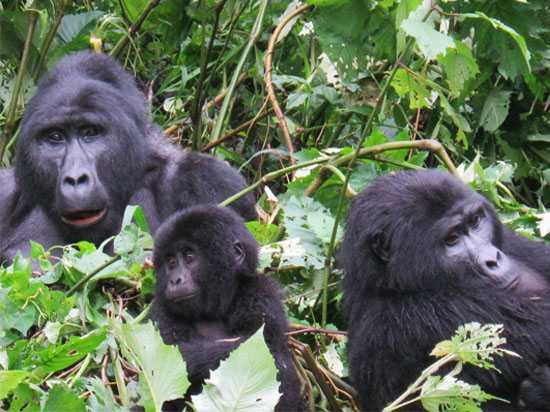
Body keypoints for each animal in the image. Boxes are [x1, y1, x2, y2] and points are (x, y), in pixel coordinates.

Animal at [152, 204, 306, 410]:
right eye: (170, 262)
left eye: (189, 256)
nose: (175, 280)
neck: (216, 309)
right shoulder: (160, 309)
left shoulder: (262, 293)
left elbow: (272, 353)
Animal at [342, 169, 550, 410]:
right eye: (452, 239)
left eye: (475, 221)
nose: (493, 259)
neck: (386, 285)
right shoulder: (421, 316)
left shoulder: (511, 242)